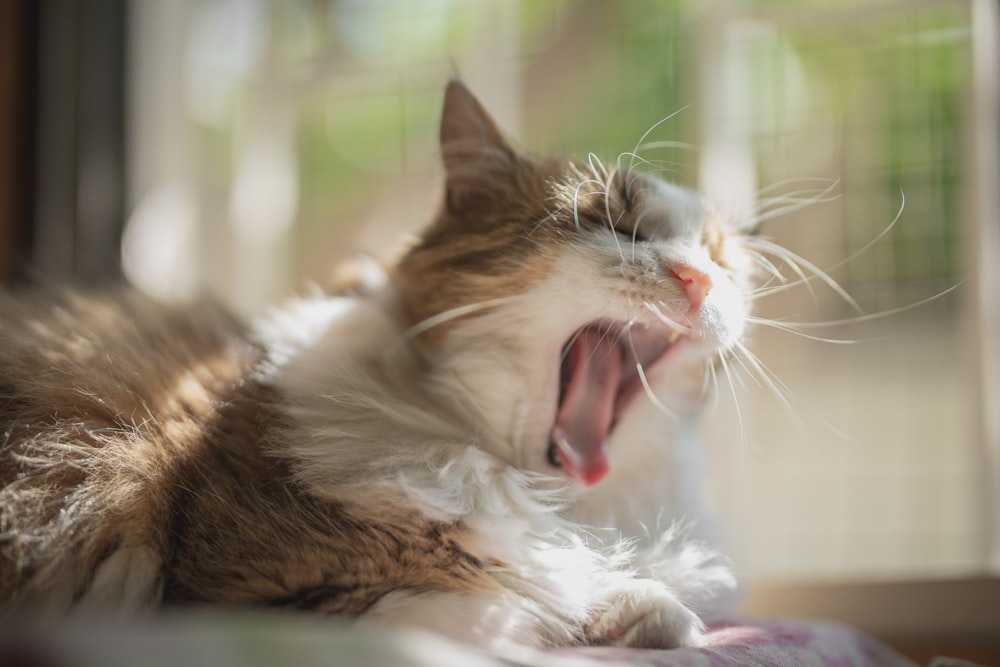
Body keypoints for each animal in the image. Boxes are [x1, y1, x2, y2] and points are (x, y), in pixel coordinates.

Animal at [0, 82, 752, 652]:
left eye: (721, 259)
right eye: (616, 225)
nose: (697, 279)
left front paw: (638, 611)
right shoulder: (235, 592)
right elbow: (488, 608)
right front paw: (572, 617)